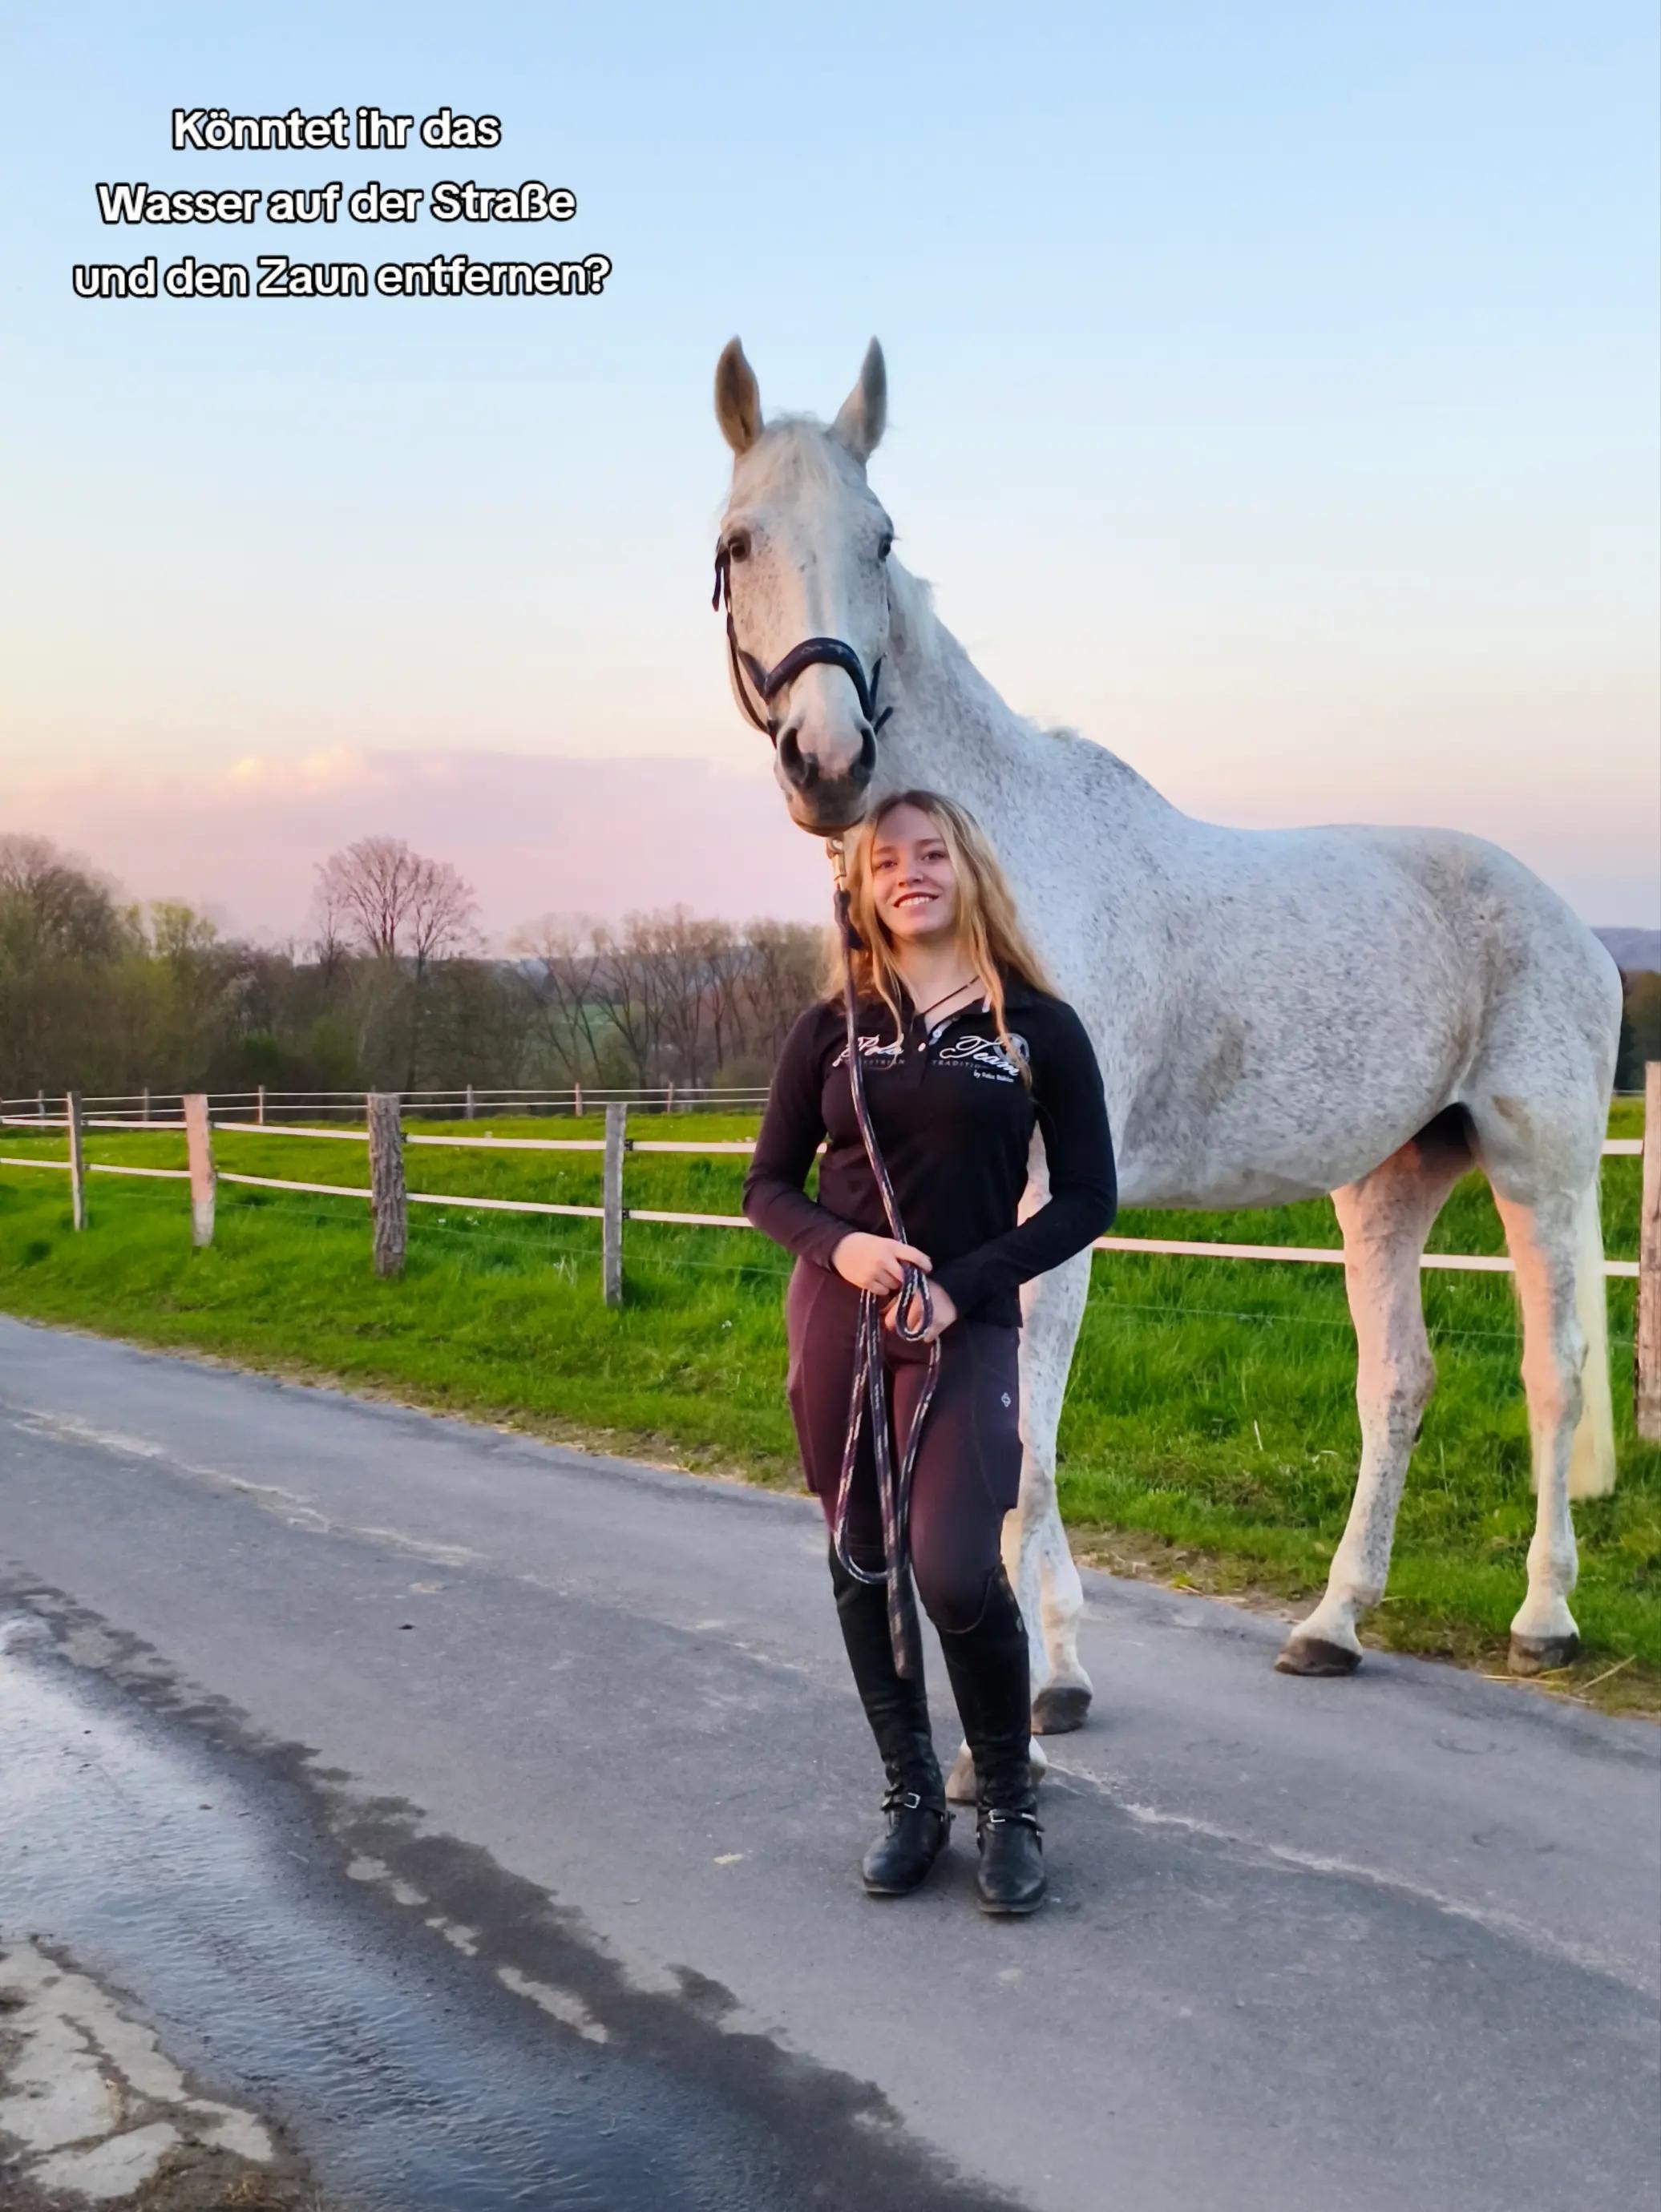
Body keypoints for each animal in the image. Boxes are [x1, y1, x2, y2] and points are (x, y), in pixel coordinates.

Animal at [711, 336, 1620, 1779]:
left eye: (881, 537)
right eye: (739, 541)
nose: (831, 759)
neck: (1001, 869)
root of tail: (1567, 919)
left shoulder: (1045, 1215)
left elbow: (1020, 1450)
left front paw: (1049, 1687)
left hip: (1540, 1170)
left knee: (1554, 1371)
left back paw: (1544, 1616)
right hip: (1388, 1185)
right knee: (1398, 1382)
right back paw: (1331, 1625)